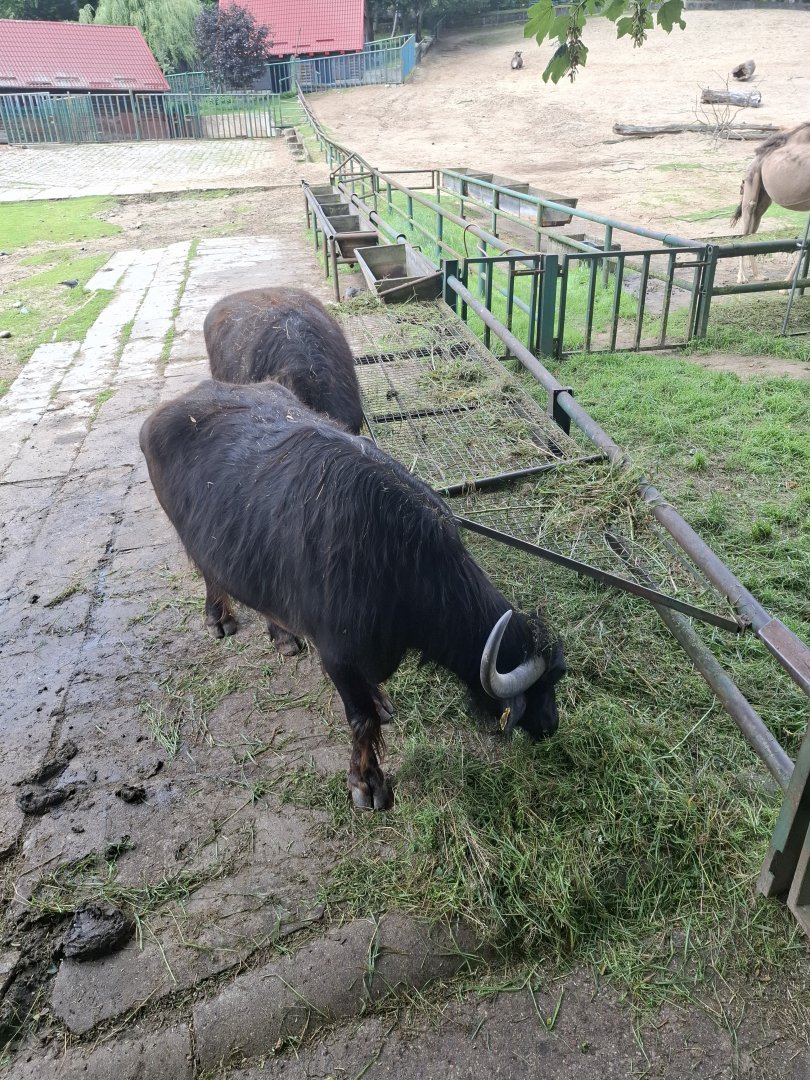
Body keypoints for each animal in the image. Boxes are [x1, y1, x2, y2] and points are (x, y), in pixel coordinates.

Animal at [140, 380, 565, 810]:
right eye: (539, 688)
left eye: (557, 680)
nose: (551, 724)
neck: (399, 562)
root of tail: (169, 410)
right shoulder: (337, 656)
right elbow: (362, 721)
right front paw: (367, 783)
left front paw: (379, 700)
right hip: (193, 538)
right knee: (208, 573)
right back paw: (219, 618)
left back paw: (283, 636)